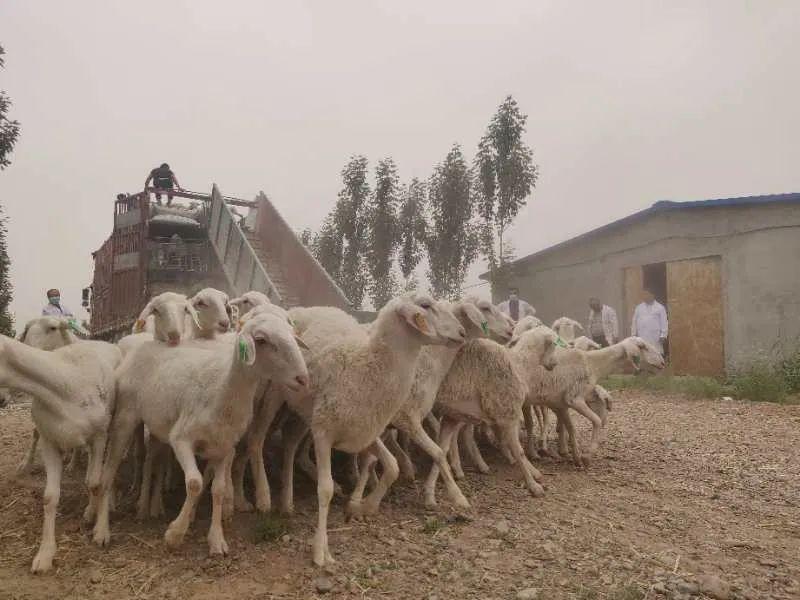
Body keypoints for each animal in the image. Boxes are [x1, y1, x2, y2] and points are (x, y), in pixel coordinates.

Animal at [0, 332, 120, 572]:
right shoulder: (49, 440)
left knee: (106, 472)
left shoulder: (99, 435)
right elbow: (50, 497)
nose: (1, 400)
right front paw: (45, 555)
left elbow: (96, 482)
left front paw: (100, 529)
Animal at [92, 312, 308, 556]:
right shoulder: (181, 439)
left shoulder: (224, 448)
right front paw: (175, 534)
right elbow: (195, 483)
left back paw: (145, 508)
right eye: (261, 340)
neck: (221, 392)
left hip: (157, 425)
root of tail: (145, 344)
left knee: (149, 461)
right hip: (125, 417)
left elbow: (218, 490)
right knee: (108, 473)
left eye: (291, 334)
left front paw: (216, 540)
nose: (303, 378)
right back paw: (102, 530)